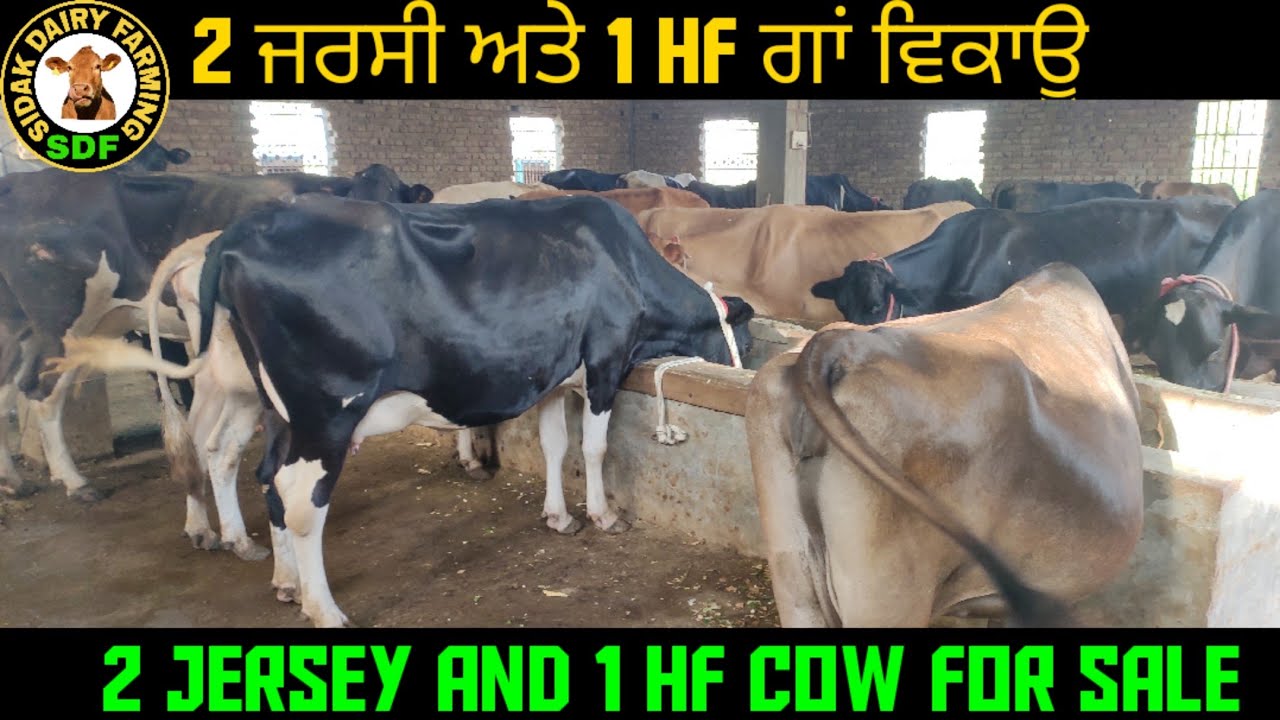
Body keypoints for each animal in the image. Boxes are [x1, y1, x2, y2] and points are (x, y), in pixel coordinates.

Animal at [51, 192, 757, 628]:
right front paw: (604, 515)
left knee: (259, 477)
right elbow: (594, 446)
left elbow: (556, 446)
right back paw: (324, 609)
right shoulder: (605, 360)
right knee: (299, 498)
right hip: (326, 414)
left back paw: (282, 579)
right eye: (745, 340)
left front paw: (559, 516)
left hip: (278, 411)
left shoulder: (553, 377)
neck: (623, 263)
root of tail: (238, 232)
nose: (746, 367)